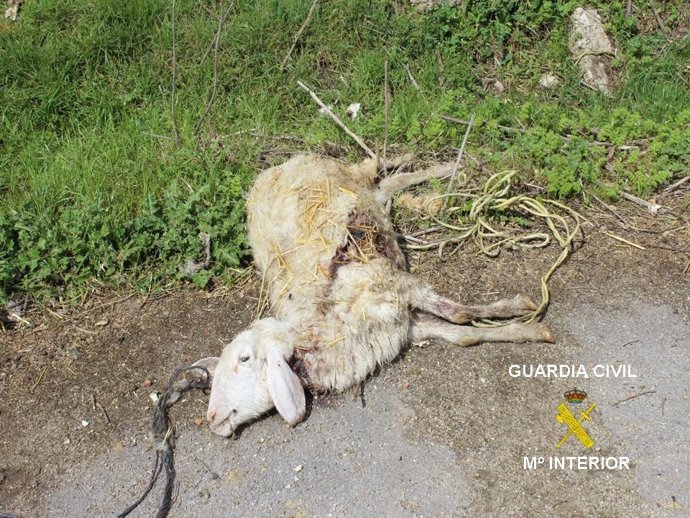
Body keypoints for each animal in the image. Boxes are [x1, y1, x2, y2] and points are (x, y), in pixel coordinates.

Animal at [194, 154, 554, 437]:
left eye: (244, 359)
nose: (212, 417)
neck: (325, 324)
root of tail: (273, 169)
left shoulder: (397, 285)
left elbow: (459, 314)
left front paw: (525, 312)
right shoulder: (403, 326)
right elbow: (461, 335)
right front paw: (526, 329)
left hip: (343, 176)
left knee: (376, 170)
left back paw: (448, 165)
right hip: (366, 197)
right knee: (386, 185)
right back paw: (439, 166)